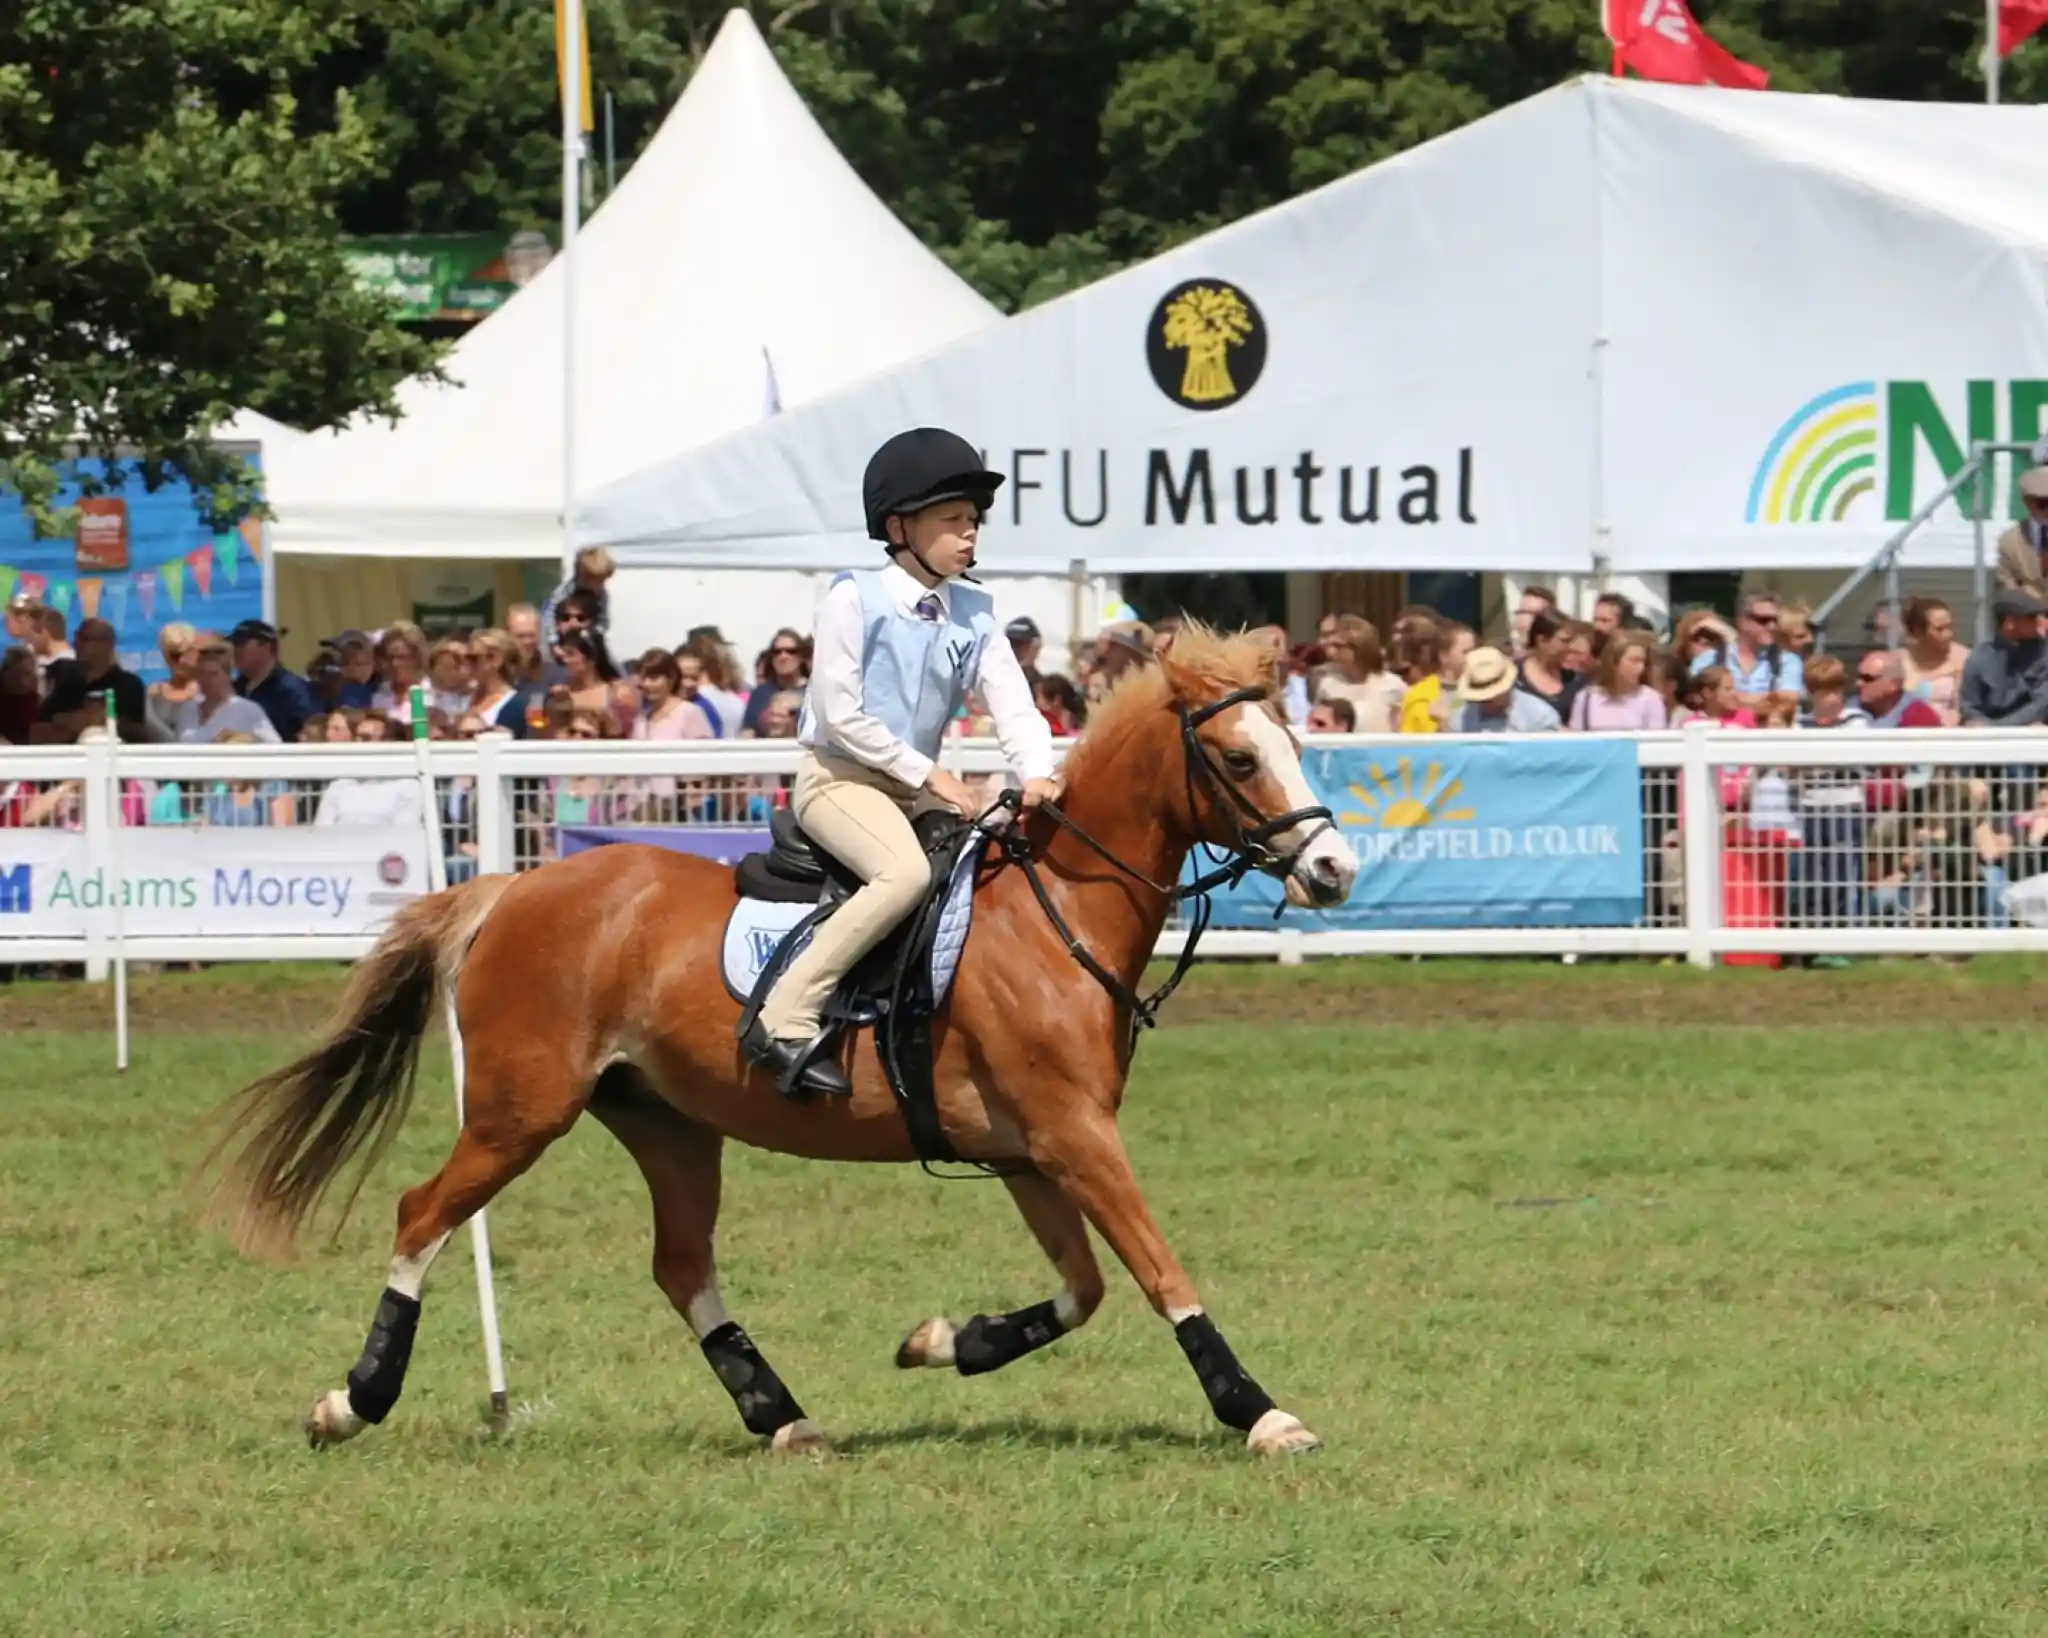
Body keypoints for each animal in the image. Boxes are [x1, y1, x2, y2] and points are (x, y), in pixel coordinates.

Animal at [206, 626, 1360, 1458]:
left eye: (1297, 745)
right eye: (1238, 756)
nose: (1335, 870)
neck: (1055, 912)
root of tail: (514, 887)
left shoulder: (1031, 1152)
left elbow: (1083, 1292)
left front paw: (946, 1343)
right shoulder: (1073, 1138)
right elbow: (1160, 1273)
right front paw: (1257, 1410)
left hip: (668, 1124)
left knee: (680, 1265)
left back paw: (781, 1415)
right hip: (520, 1112)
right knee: (423, 1214)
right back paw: (353, 1402)